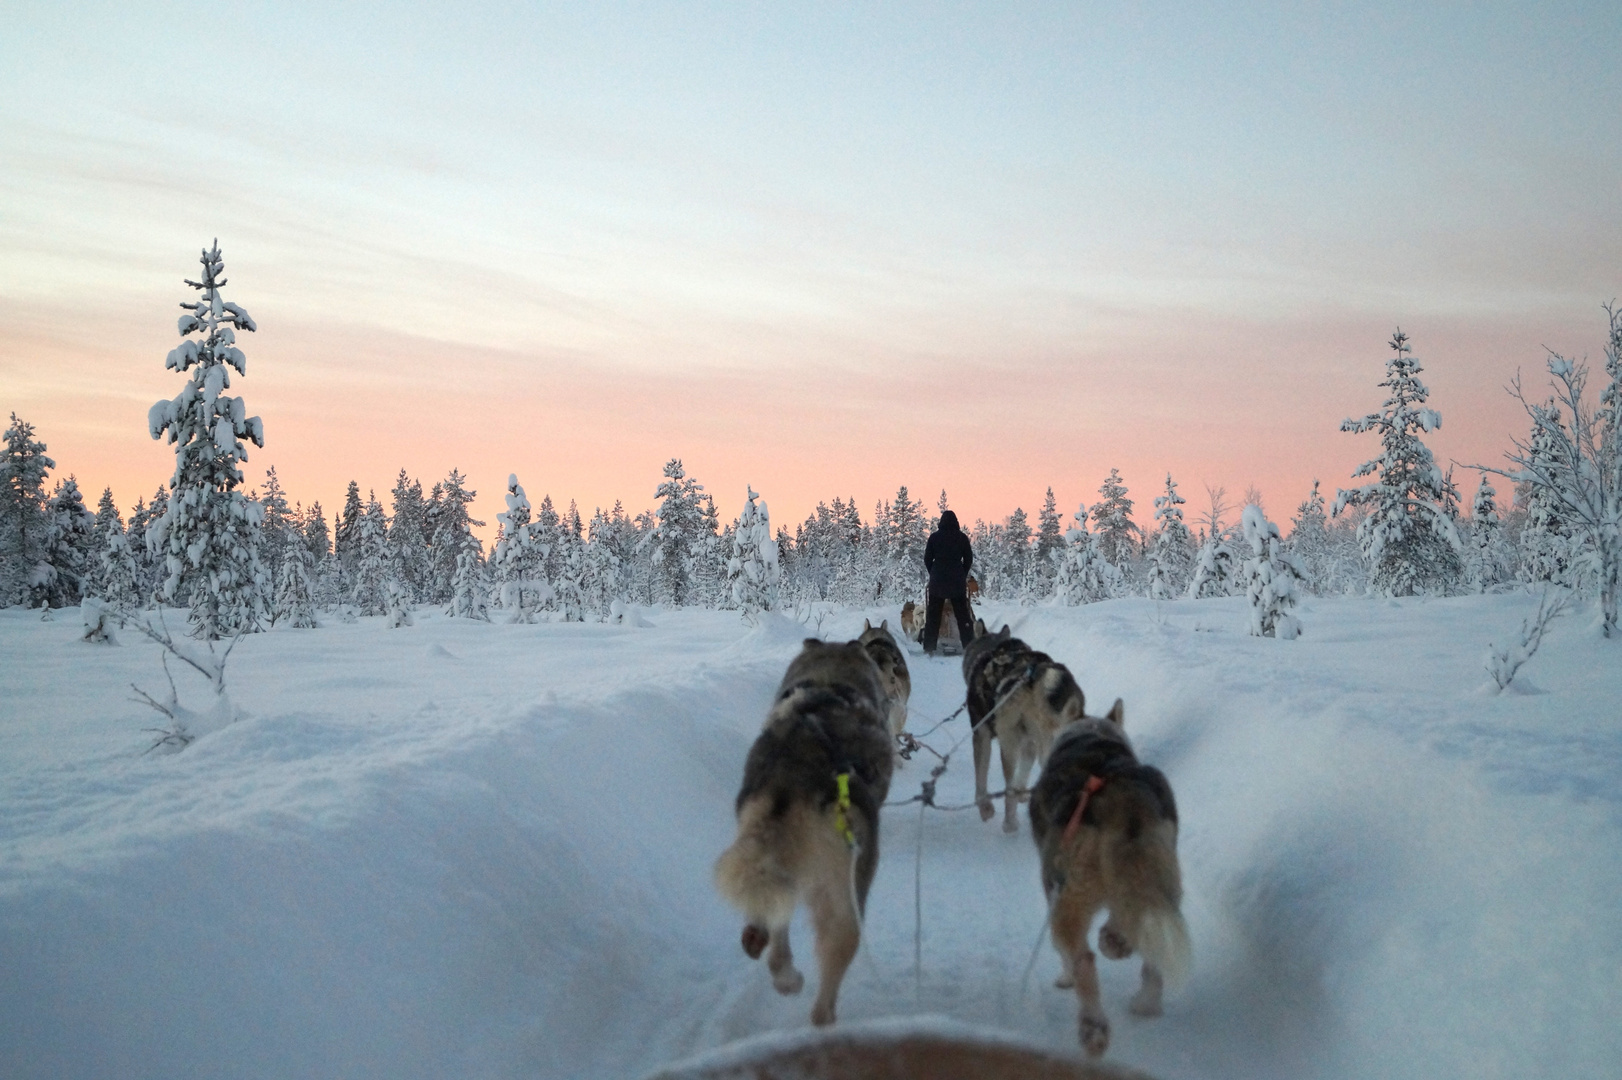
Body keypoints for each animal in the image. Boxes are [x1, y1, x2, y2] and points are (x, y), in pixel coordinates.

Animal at [710, 635, 895, 1024]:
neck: (828, 685)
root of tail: (792, 781)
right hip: (844, 893)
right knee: (829, 980)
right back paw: (824, 1017)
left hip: (775, 865)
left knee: (774, 925)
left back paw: (782, 972)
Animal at [960, 622, 1089, 830]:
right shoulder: (1029, 742)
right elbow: (1023, 773)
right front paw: (1023, 793)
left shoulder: (982, 733)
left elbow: (981, 778)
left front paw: (985, 808)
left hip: (1010, 745)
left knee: (1009, 790)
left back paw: (1010, 823)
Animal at [1025, 694, 1193, 1057]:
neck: (1092, 735)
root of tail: (1122, 798)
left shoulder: (1053, 889)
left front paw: (1064, 978)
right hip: (1162, 881)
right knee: (1146, 936)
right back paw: (1143, 996)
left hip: (1070, 897)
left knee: (1084, 959)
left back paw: (1093, 1027)